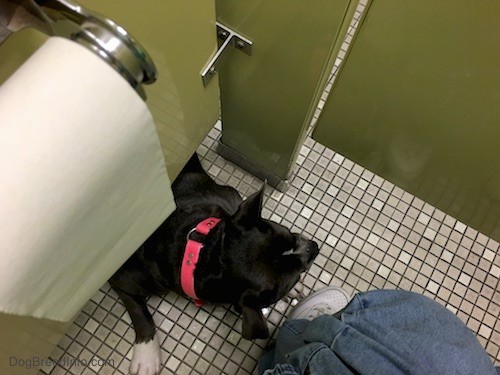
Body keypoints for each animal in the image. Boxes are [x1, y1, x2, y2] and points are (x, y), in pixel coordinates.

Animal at [111, 153, 318, 375]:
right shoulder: (120, 275)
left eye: (291, 236)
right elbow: (139, 312)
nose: (315, 247)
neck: (201, 253)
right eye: (295, 275)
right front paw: (146, 354)